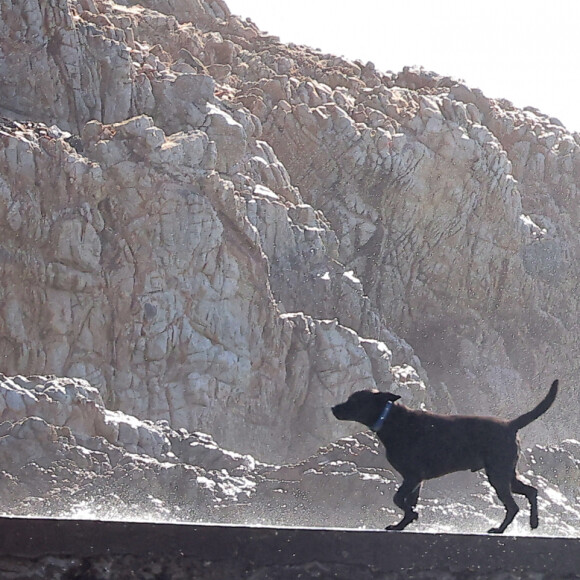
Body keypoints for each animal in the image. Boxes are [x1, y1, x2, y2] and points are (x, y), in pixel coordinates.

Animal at [334, 380, 560, 536]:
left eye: (354, 401)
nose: (333, 408)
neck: (391, 419)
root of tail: (510, 424)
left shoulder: (413, 477)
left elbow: (398, 498)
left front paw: (411, 516)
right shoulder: (416, 481)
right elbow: (408, 503)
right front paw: (402, 524)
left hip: (498, 476)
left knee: (513, 506)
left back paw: (499, 529)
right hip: (506, 474)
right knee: (532, 491)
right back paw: (533, 523)